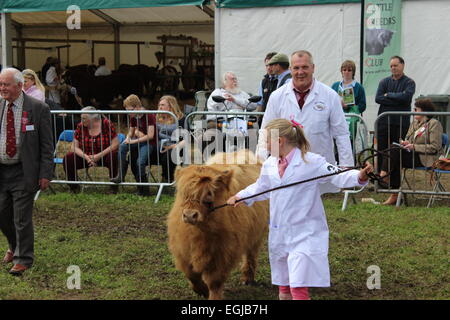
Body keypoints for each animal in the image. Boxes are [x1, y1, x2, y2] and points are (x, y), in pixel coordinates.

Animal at [167, 150, 268, 300]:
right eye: (184, 194)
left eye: (209, 194)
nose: (190, 215)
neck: (200, 232)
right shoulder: (183, 252)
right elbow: (192, 276)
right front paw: (202, 290)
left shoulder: (222, 252)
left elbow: (214, 281)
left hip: (256, 234)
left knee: (250, 255)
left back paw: (247, 279)